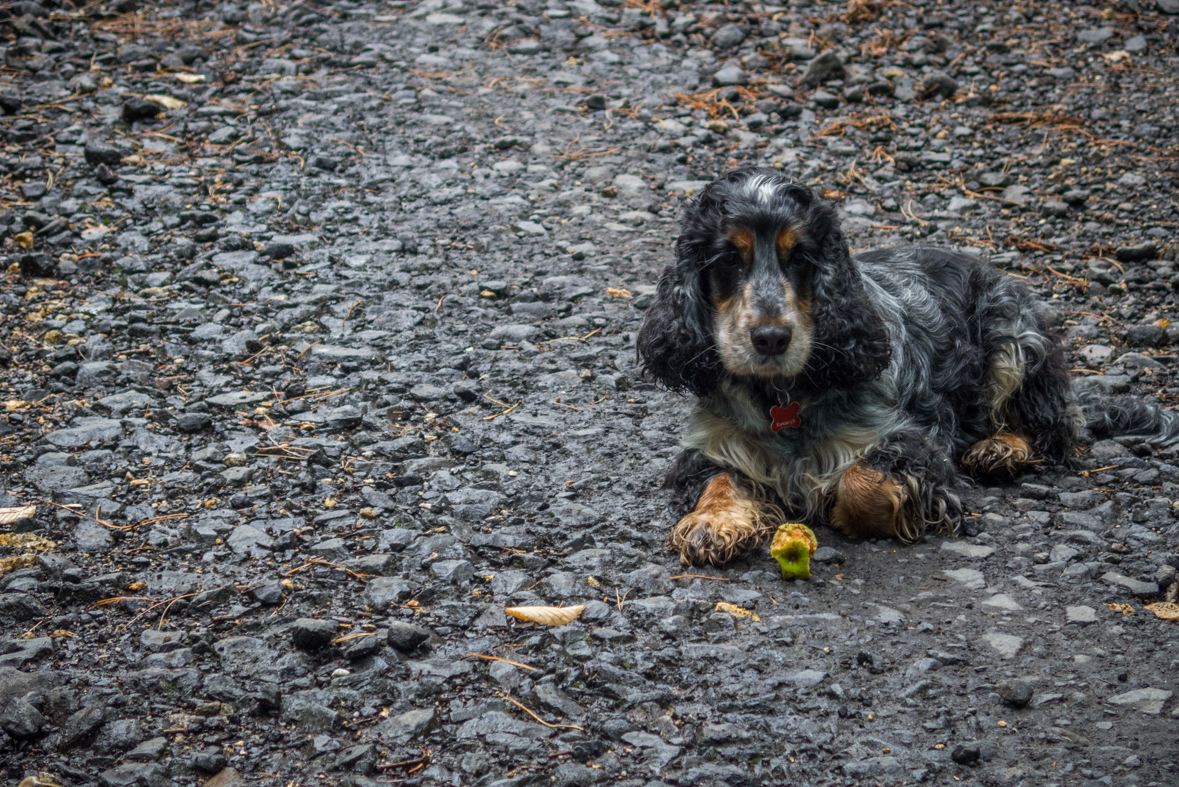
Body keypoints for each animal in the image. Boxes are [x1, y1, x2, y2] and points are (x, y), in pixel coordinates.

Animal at [641, 169, 1179, 567]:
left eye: (802, 258)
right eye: (728, 259)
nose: (771, 338)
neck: (782, 395)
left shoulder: (907, 440)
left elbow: (861, 482)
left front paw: (844, 510)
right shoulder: (714, 444)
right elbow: (718, 480)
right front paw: (711, 524)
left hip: (1014, 338)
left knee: (1051, 427)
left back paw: (1000, 448)